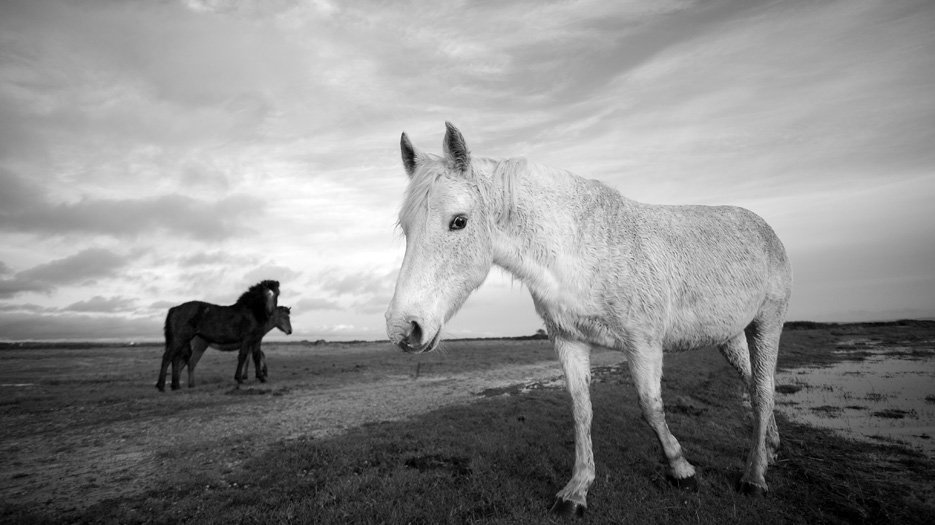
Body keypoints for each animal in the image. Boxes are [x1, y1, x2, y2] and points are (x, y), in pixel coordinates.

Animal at [384, 123, 792, 516]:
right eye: (405, 226)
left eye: (458, 221)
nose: (403, 328)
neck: (579, 249)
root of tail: (765, 229)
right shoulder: (569, 341)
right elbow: (581, 411)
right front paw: (576, 491)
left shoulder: (643, 344)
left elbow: (651, 407)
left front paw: (682, 470)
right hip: (730, 336)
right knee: (753, 382)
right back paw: (770, 449)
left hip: (767, 323)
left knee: (762, 390)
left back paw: (754, 476)